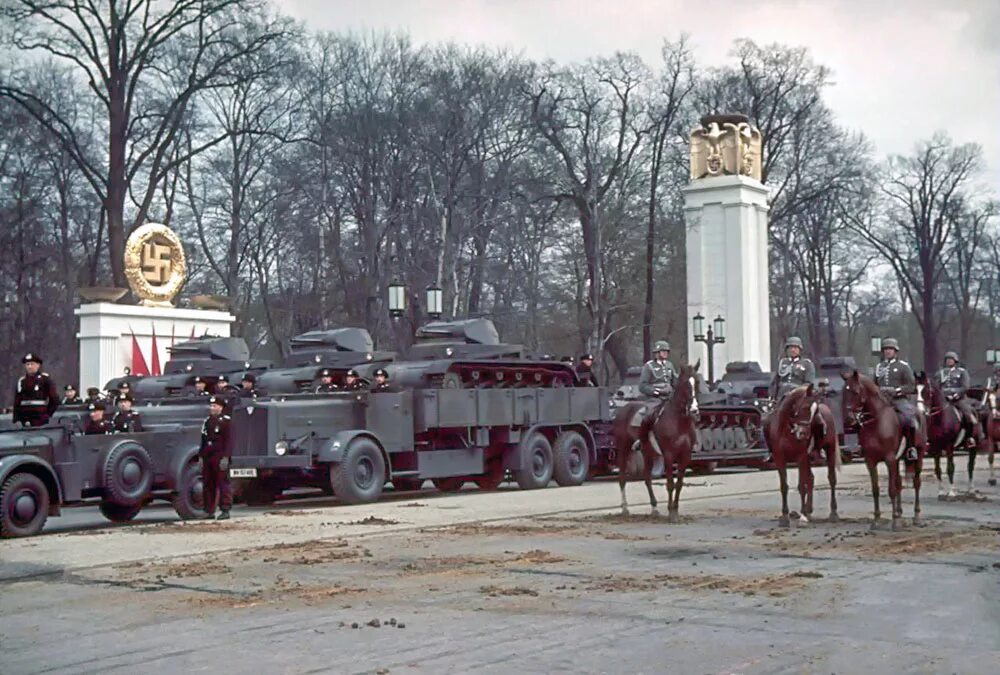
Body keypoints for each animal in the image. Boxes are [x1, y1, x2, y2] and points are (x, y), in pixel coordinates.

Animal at [608, 364, 704, 524]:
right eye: (685, 384)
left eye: (696, 382)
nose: (694, 410)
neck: (679, 421)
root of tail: (623, 409)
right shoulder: (669, 455)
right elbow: (670, 484)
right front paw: (671, 513)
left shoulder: (685, 455)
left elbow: (679, 484)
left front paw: (675, 511)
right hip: (624, 448)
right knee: (622, 478)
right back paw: (625, 509)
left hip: (648, 452)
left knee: (647, 478)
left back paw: (654, 508)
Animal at [760, 386, 840, 528]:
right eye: (805, 407)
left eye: (816, 411)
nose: (804, 434)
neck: (787, 430)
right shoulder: (780, 458)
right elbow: (784, 486)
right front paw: (785, 516)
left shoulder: (801, 457)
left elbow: (802, 486)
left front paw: (802, 516)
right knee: (811, 478)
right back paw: (809, 510)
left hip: (830, 450)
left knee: (831, 479)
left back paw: (832, 513)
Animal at [840, 372, 924, 532]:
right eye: (843, 392)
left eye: (855, 391)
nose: (848, 420)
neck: (877, 422)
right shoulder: (870, 461)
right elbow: (876, 489)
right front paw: (877, 520)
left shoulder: (889, 459)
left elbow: (891, 489)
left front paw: (895, 521)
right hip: (897, 460)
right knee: (899, 483)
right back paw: (900, 514)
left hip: (919, 456)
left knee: (916, 483)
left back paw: (916, 517)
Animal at [916, 372, 984, 500]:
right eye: (915, 390)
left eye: (926, 391)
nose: (921, 411)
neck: (940, 418)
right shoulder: (935, 447)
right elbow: (938, 469)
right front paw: (941, 492)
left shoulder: (949, 446)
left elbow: (950, 468)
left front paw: (952, 492)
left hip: (973, 446)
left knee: (970, 466)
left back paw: (971, 490)